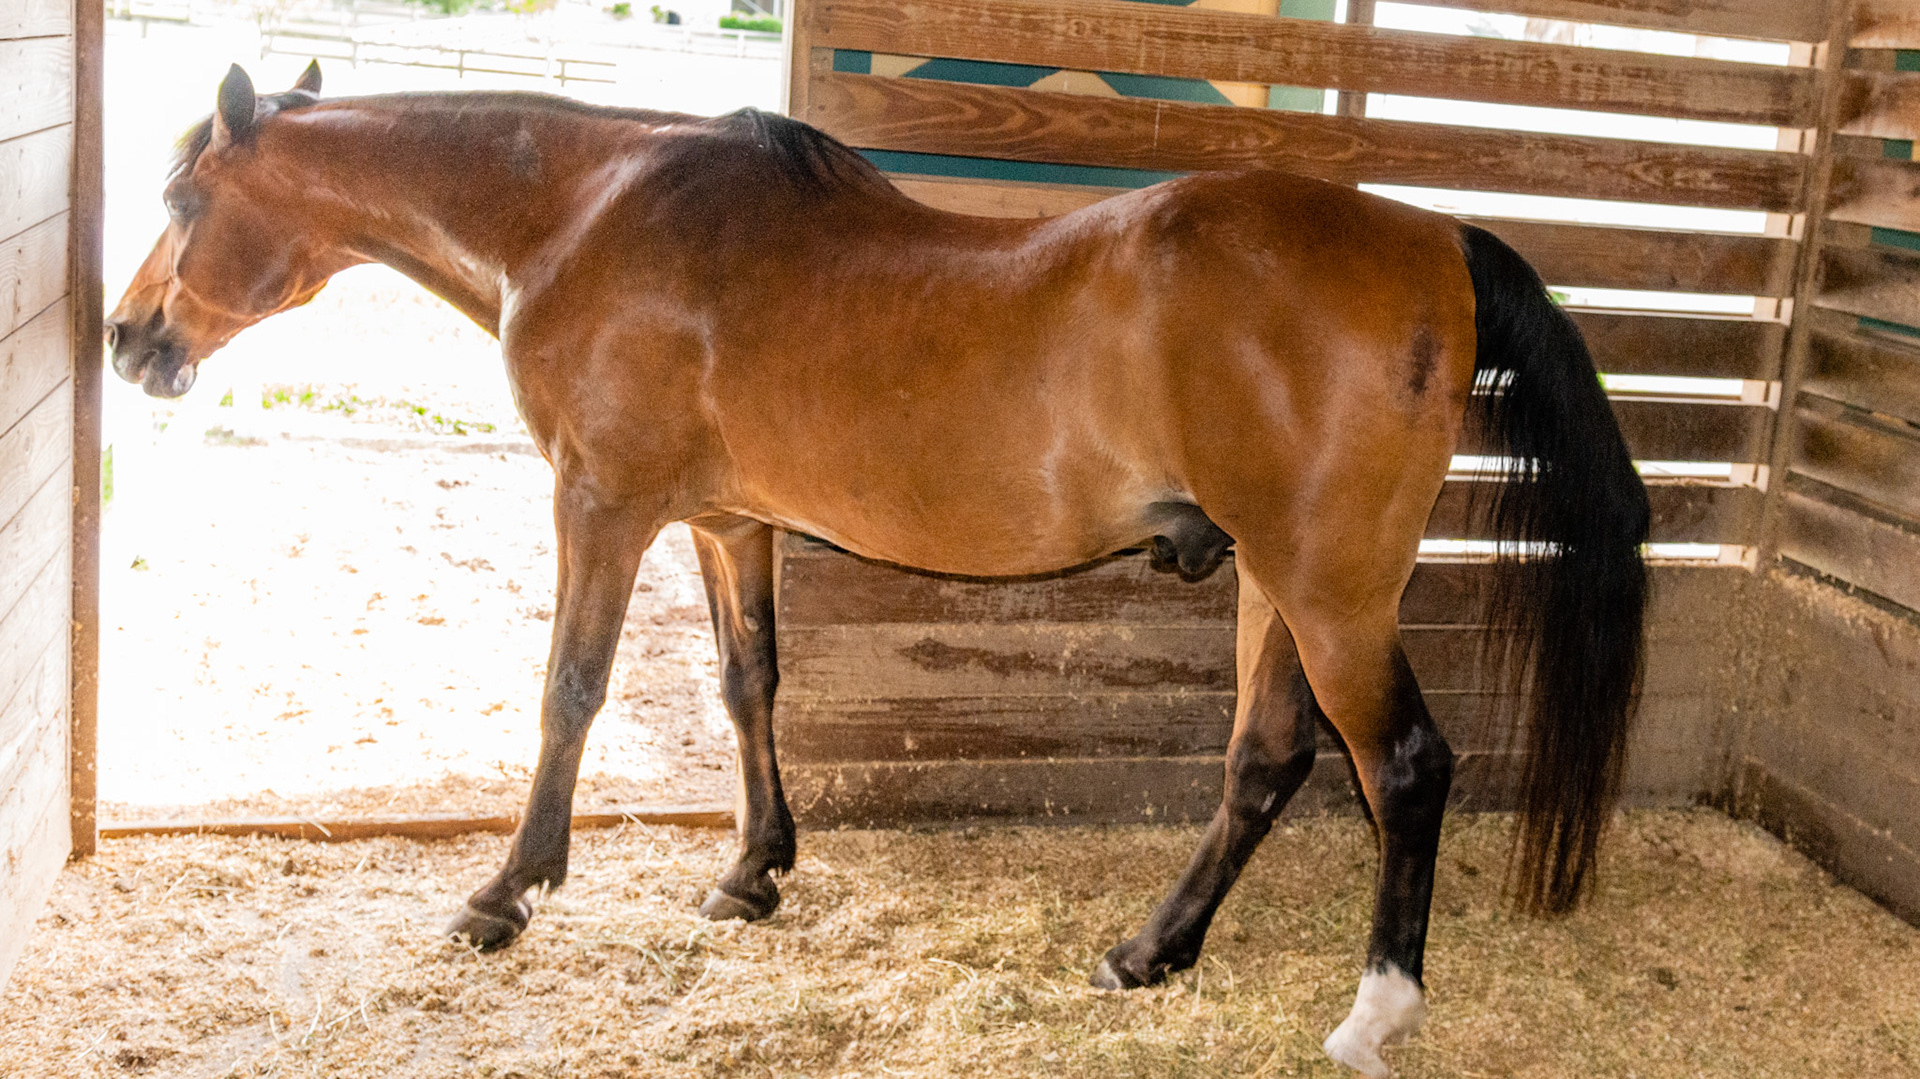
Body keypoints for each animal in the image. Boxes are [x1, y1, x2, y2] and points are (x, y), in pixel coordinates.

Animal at [107, 63, 1649, 1077]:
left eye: (183, 193)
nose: (128, 338)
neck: (587, 215)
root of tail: (1433, 236)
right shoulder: (728, 523)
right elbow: (749, 683)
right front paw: (752, 868)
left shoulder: (600, 505)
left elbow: (572, 691)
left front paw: (507, 891)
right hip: (1278, 587)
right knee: (1268, 758)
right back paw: (1149, 950)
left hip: (1328, 592)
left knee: (1405, 764)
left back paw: (1375, 1008)